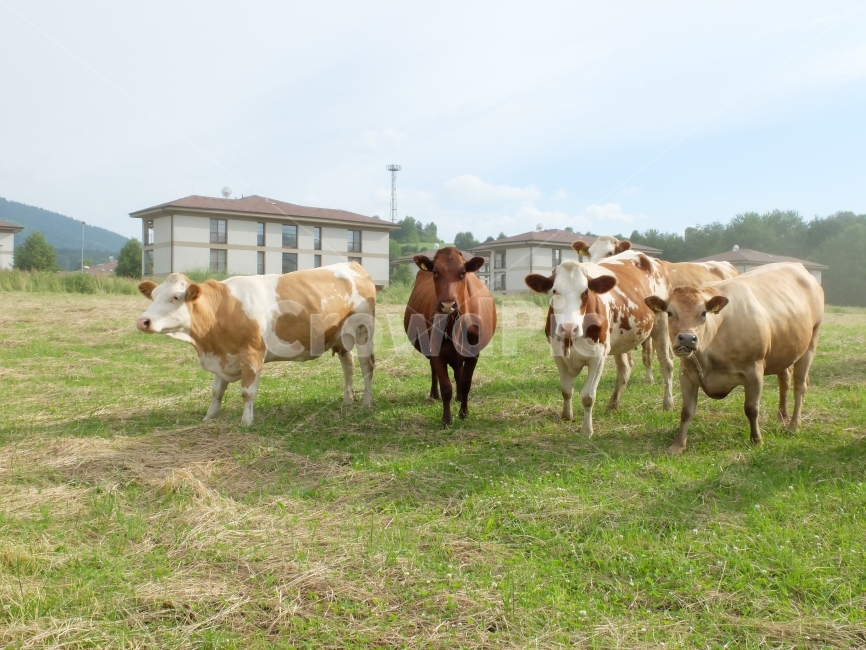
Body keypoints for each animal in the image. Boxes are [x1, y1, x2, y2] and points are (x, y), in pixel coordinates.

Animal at [136, 263, 376, 426]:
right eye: (153, 296)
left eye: (175, 297)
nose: (142, 321)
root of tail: (353, 264)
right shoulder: (222, 355)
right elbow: (217, 391)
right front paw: (210, 416)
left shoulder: (251, 354)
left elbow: (247, 391)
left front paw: (246, 421)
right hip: (340, 337)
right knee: (348, 363)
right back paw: (348, 398)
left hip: (364, 330)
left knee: (366, 364)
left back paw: (367, 401)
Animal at [404, 247, 497, 425]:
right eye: (435, 272)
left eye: (462, 273)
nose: (448, 305)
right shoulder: (437, 351)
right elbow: (446, 387)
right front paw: (446, 419)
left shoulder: (473, 353)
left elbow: (466, 383)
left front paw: (464, 413)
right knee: (435, 370)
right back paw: (434, 394)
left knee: (458, 372)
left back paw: (459, 397)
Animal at [524, 252, 671, 435]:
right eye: (555, 291)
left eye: (585, 291)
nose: (568, 328)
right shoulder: (558, 354)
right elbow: (566, 390)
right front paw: (567, 416)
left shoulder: (598, 357)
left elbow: (588, 396)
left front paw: (587, 430)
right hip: (620, 341)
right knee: (625, 369)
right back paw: (613, 405)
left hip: (661, 324)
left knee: (667, 365)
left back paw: (668, 404)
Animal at [644, 262, 823, 454]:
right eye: (669, 313)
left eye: (704, 313)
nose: (687, 338)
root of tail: (796, 264)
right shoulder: (687, 374)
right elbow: (686, 411)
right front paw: (677, 445)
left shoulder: (754, 371)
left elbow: (751, 408)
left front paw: (756, 440)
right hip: (784, 349)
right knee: (785, 381)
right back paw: (782, 417)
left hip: (811, 342)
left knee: (800, 386)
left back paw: (793, 426)